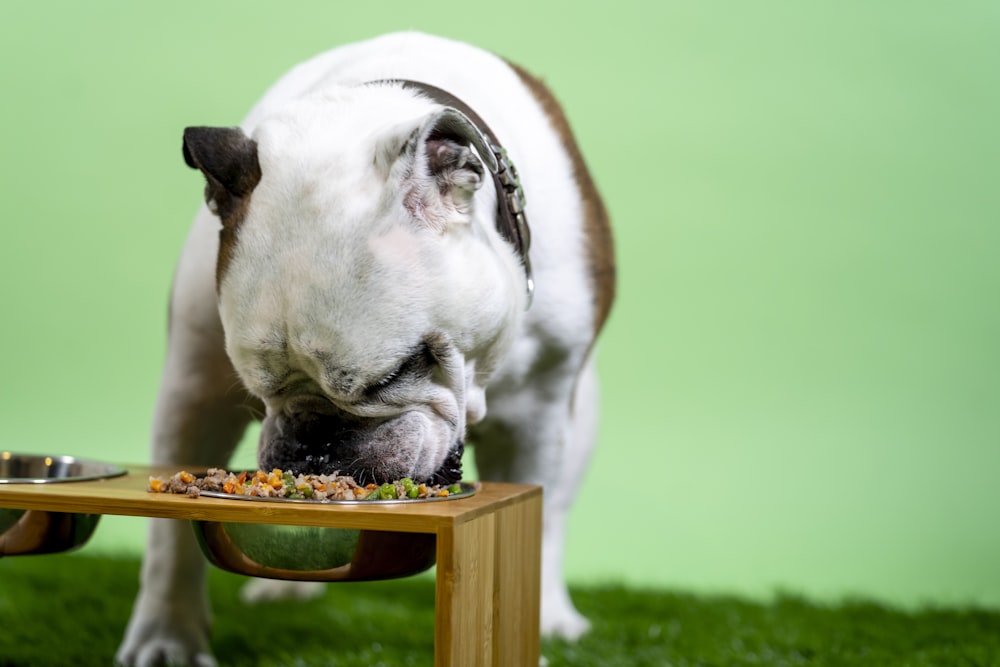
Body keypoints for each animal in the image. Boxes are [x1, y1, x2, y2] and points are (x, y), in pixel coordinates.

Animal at [118, 31, 616, 667]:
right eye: (258, 391)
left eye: (394, 374)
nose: (315, 439)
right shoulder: (194, 387)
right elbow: (168, 537)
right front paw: (167, 636)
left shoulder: (536, 415)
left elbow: (535, 519)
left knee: (554, 518)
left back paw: (555, 616)